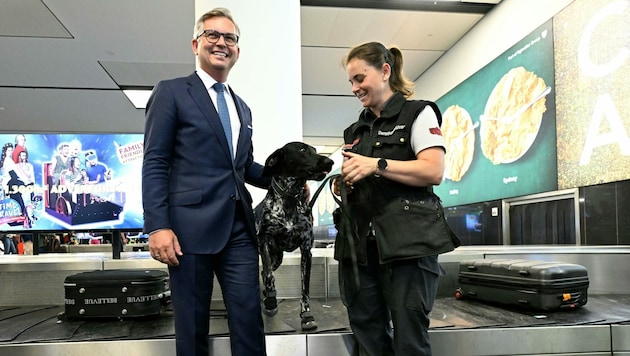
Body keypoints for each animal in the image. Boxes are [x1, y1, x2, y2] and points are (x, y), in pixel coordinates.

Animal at [256, 142, 336, 330]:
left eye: (315, 150)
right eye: (302, 150)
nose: (330, 161)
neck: (290, 199)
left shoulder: (306, 251)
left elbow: (305, 288)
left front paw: (306, 315)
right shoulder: (263, 241)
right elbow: (269, 275)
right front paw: (271, 297)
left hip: (277, 258)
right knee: (265, 271)